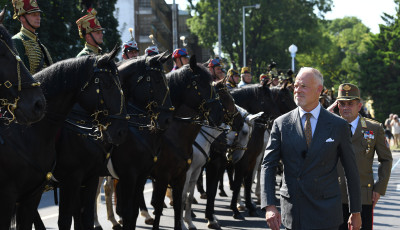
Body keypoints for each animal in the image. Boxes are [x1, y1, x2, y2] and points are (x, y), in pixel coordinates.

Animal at [0, 47, 126, 229]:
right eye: (108, 84)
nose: (121, 131)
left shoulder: (90, 178)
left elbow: (84, 217)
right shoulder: (70, 180)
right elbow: (66, 219)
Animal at [53, 52, 172, 230]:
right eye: (157, 80)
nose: (167, 119)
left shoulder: (141, 174)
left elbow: (133, 212)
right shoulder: (128, 174)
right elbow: (128, 211)